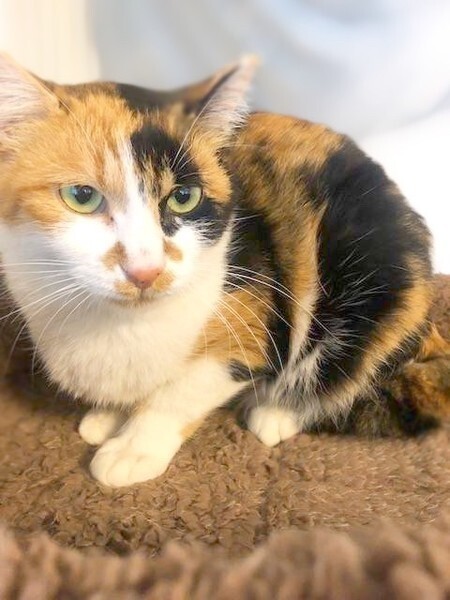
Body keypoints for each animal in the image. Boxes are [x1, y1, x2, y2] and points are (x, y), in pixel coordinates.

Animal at [0, 53, 446, 487]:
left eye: (184, 197)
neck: (116, 325)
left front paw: (132, 449)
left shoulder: (249, 324)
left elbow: (178, 394)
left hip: (373, 281)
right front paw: (108, 417)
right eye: (82, 196)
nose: (145, 269)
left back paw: (274, 414)